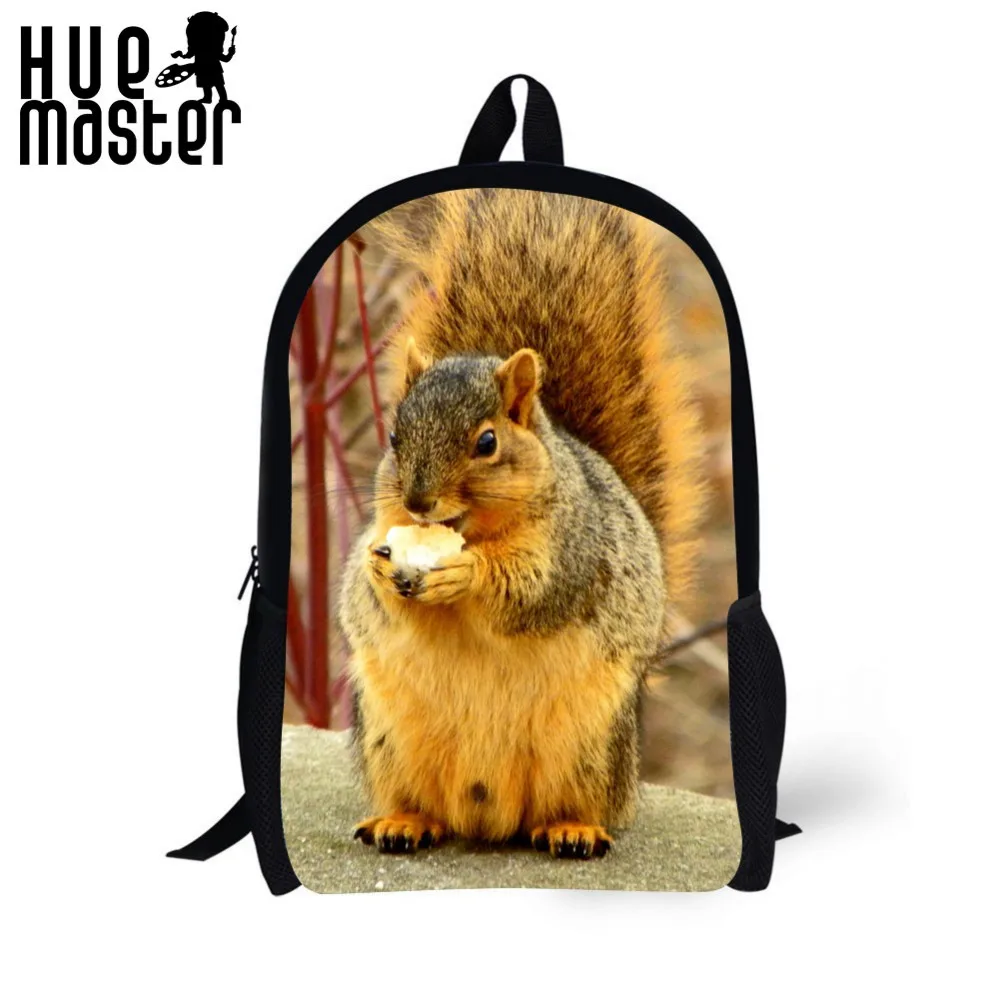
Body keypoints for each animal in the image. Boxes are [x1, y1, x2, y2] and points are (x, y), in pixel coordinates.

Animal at [338, 189, 705, 859]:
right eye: (395, 437)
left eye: (487, 442)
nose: (419, 502)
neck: (473, 530)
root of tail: (488, 816)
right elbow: (372, 597)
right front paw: (381, 574)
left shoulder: (575, 552)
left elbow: (533, 590)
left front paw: (466, 573)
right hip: (390, 741)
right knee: (421, 801)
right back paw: (403, 821)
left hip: (590, 747)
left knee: (573, 804)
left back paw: (574, 830)